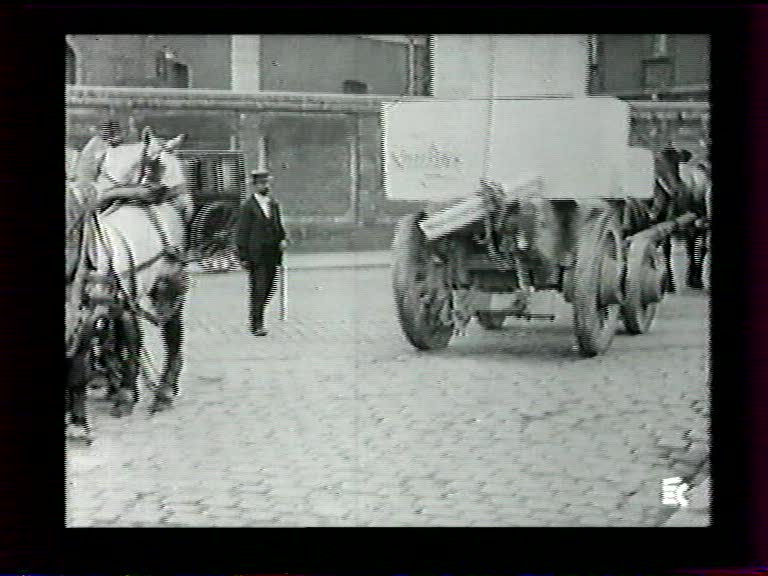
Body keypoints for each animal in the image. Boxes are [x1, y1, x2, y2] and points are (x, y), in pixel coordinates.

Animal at [65, 126, 195, 440]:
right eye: (165, 166)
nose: (186, 203)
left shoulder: (87, 315)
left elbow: (77, 365)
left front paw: (78, 423)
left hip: (166, 285)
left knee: (172, 332)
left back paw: (162, 391)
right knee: (137, 335)